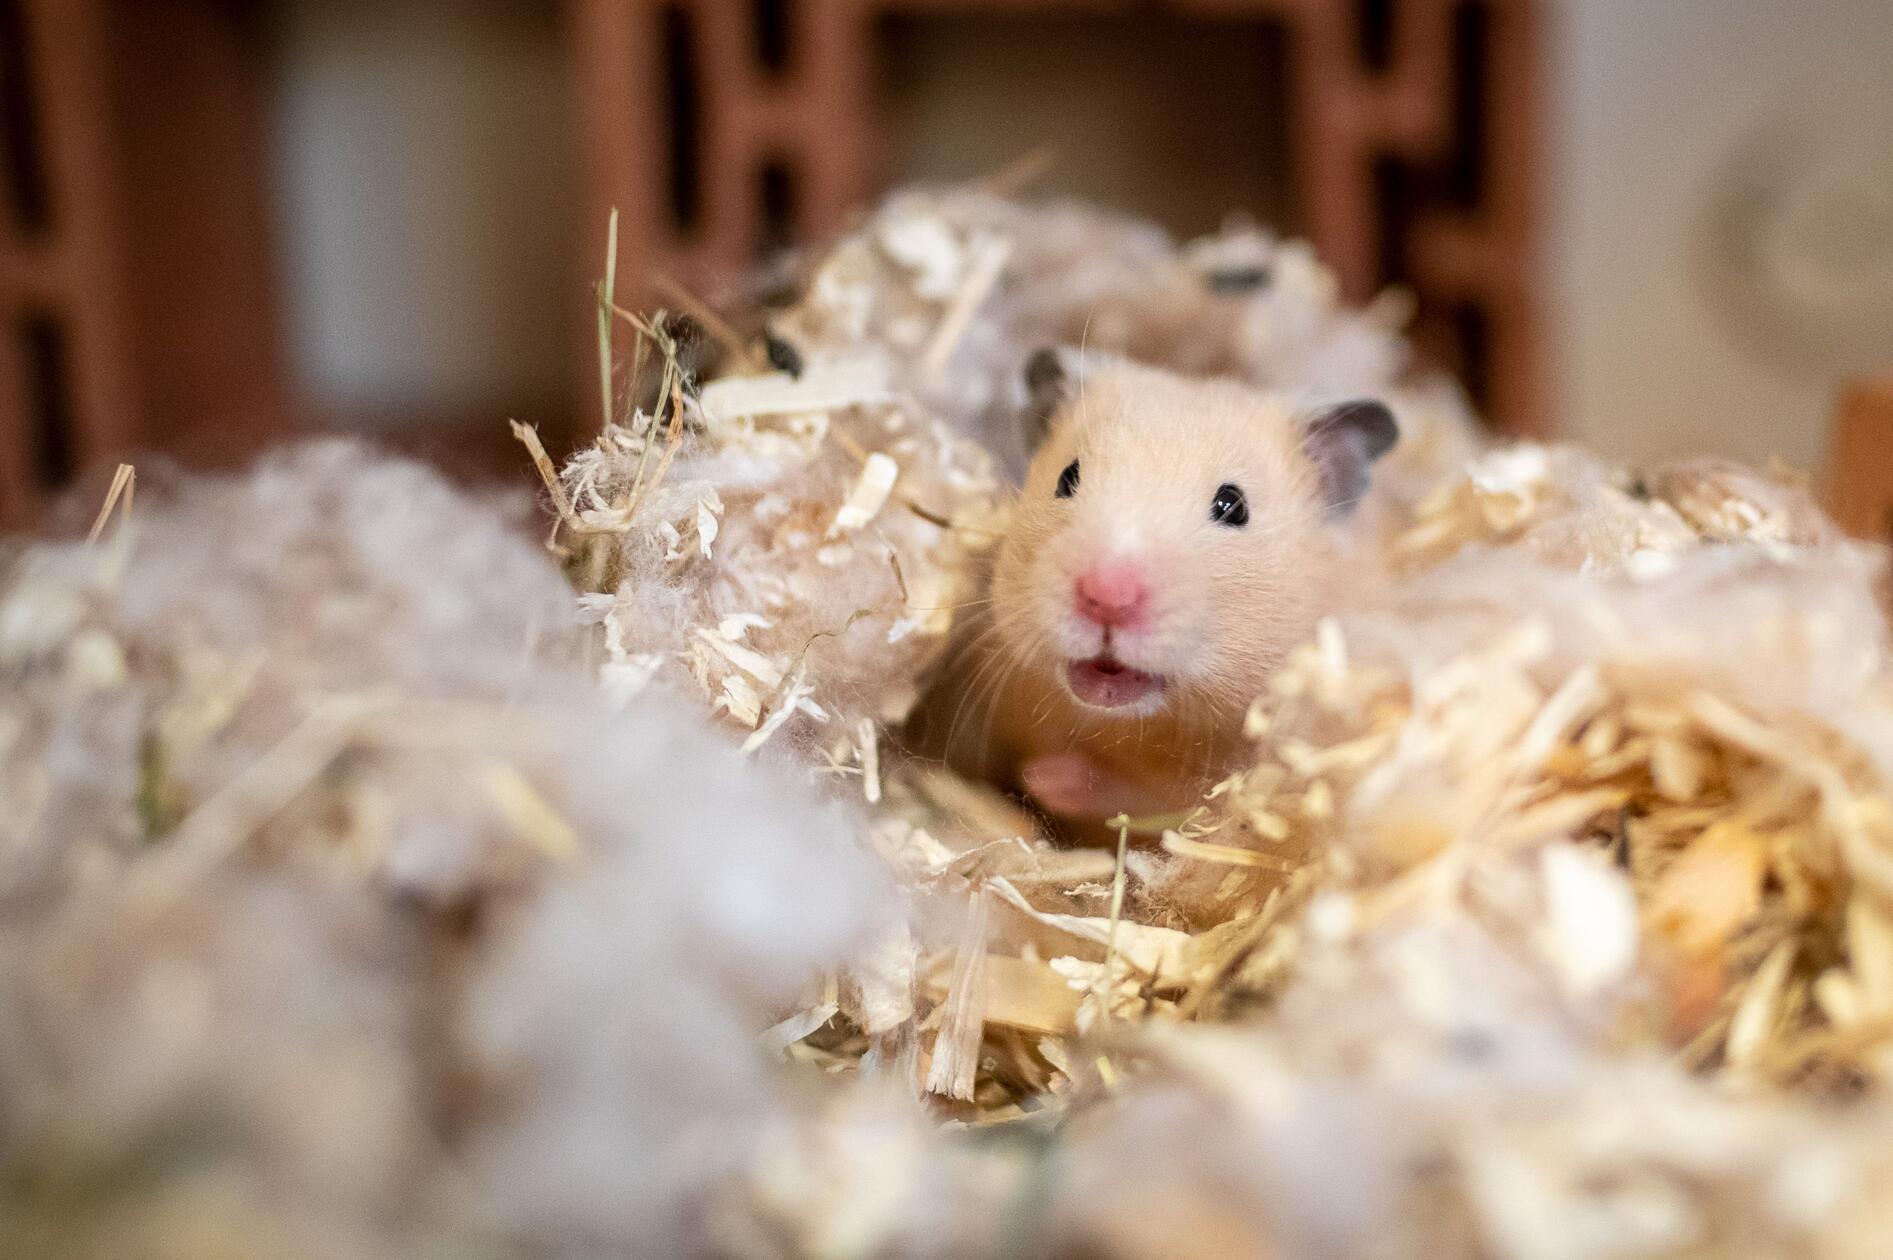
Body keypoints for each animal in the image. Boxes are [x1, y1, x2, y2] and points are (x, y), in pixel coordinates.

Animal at [914, 350, 1398, 836]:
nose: (1107, 596)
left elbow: (1143, 802)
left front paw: (1047, 777)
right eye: (1067, 478)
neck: (1124, 731)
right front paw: (1030, 777)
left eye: (1234, 506)